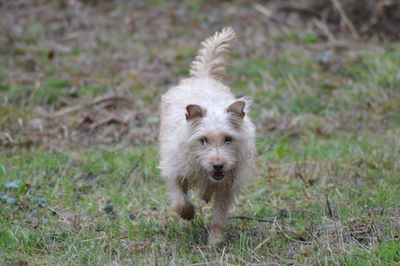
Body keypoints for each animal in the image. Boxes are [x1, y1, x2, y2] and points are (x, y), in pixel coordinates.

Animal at [158, 27, 255, 245]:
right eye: (203, 140)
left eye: (228, 139)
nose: (218, 165)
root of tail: (203, 77)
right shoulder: (173, 169)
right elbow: (179, 200)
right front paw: (187, 214)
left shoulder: (227, 186)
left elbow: (218, 216)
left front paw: (215, 241)